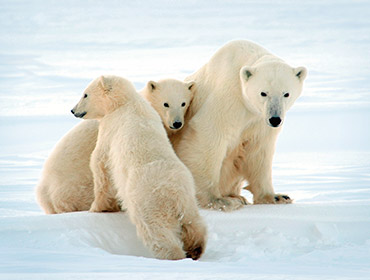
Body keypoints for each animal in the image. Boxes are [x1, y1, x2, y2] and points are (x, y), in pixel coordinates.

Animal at [175, 38, 308, 210]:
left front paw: (276, 197)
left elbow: (259, 150)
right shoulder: (229, 98)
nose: (275, 119)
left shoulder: (259, 121)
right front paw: (217, 200)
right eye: (263, 93)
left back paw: (237, 196)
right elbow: (209, 134)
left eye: (286, 94)